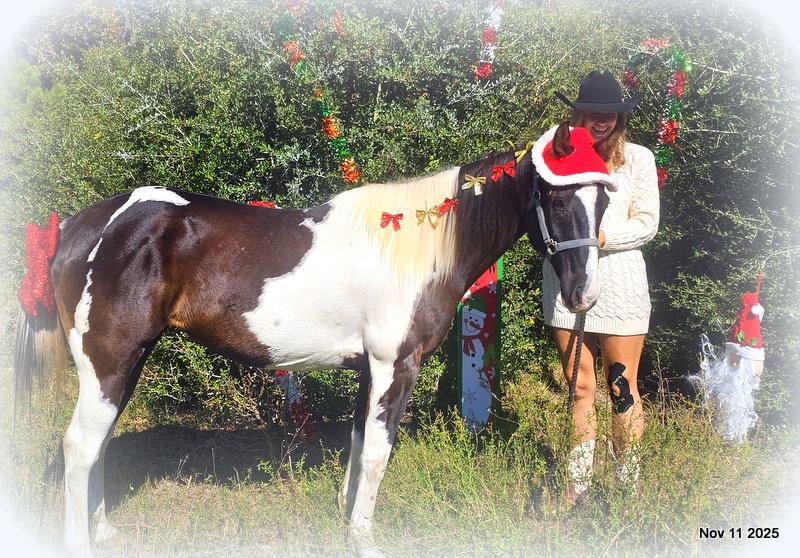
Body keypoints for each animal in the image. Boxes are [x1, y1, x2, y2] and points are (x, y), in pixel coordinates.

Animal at [14, 122, 615, 557]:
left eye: (604, 202)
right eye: (557, 201)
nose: (584, 295)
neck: (413, 250)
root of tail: (80, 227)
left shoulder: (369, 370)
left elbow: (358, 446)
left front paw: (347, 528)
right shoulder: (395, 366)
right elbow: (377, 453)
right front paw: (365, 540)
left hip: (125, 364)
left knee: (97, 446)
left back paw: (105, 533)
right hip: (109, 362)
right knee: (79, 446)